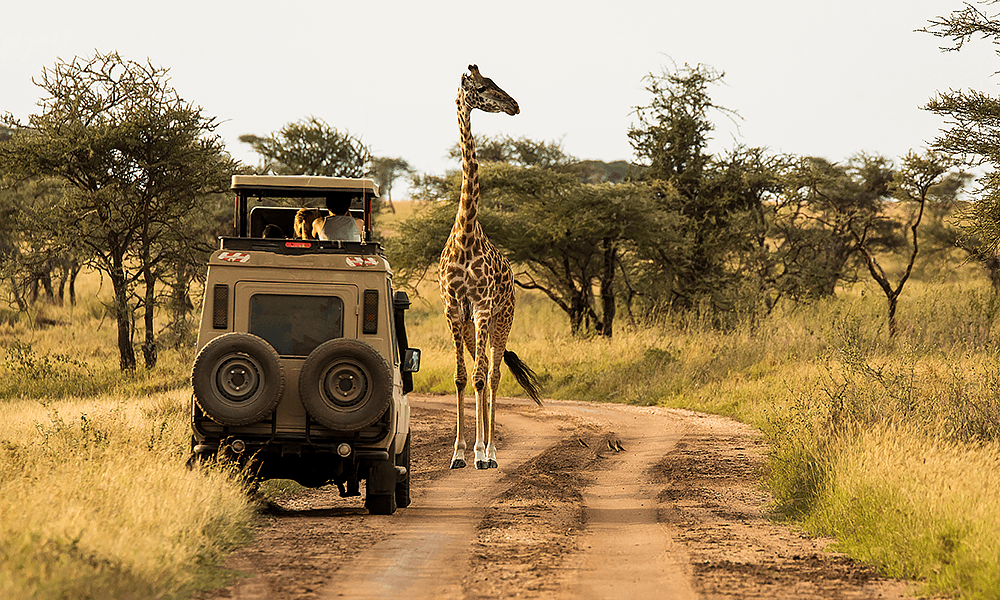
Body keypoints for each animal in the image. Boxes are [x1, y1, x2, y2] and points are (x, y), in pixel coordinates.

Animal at [439, 64, 542, 471]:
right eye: (482, 88)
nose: (514, 105)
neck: (466, 232)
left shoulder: (483, 307)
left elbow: (483, 377)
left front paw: (481, 453)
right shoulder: (454, 309)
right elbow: (461, 377)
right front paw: (458, 454)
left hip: (503, 319)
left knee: (494, 374)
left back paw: (492, 451)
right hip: (472, 326)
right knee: (479, 368)